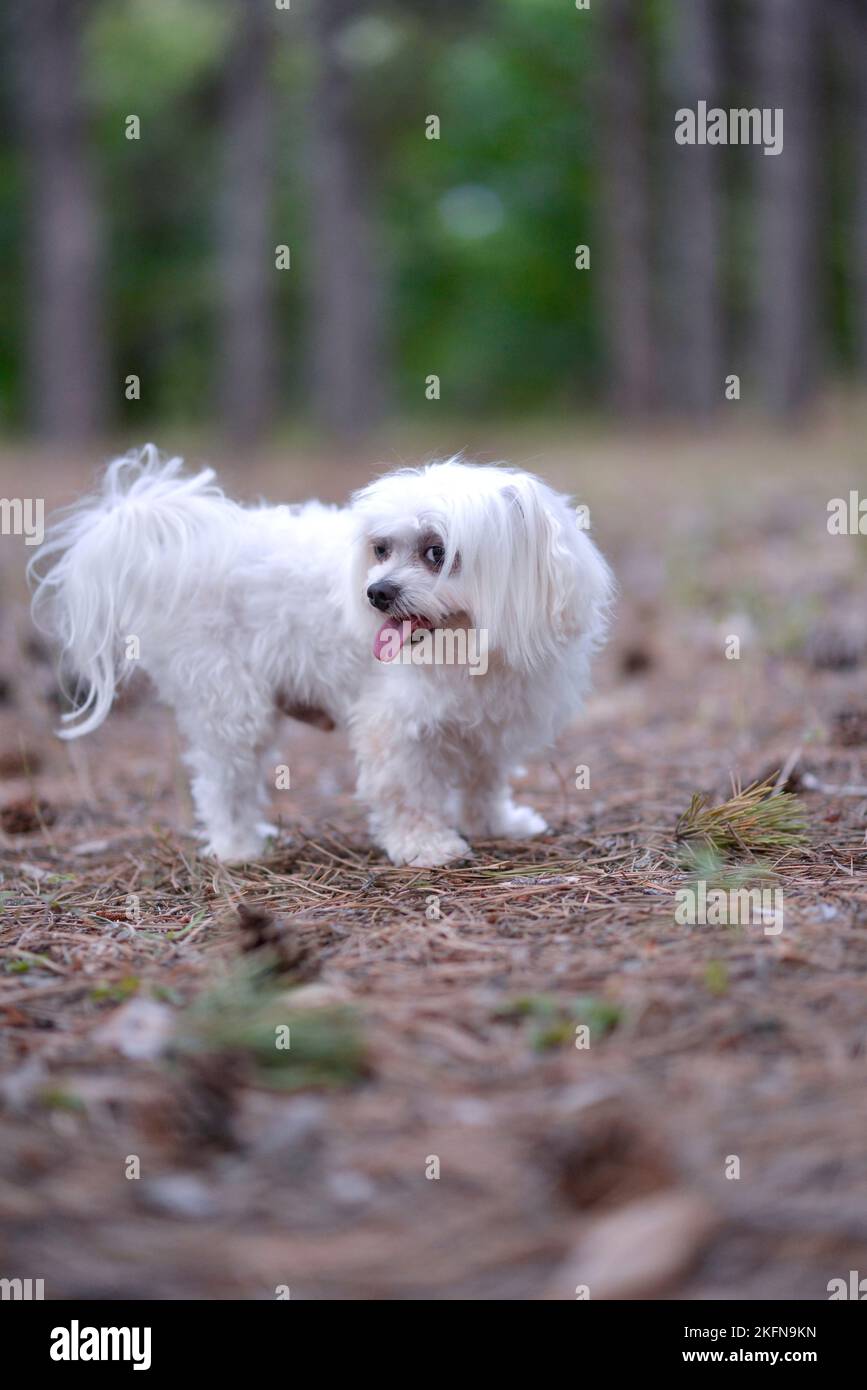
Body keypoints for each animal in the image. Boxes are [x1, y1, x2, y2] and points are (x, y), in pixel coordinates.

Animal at [30, 446, 613, 867]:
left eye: (437, 552)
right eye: (381, 549)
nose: (376, 592)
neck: (472, 649)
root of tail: (186, 550)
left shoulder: (491, 723)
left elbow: (484, 779)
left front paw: (496, 824)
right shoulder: (394, 725)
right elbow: (405, 791)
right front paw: (425, 846)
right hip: (231, 702)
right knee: (223, 779)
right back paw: (238, 848)